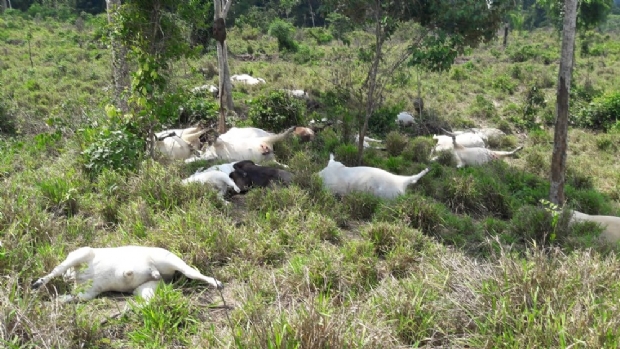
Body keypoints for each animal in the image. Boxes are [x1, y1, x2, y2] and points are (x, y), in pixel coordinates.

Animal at [32, 245, 223, 302]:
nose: (69, 277)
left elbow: (57, 271)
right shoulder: (88, 292)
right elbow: (72, 296)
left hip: (171, 261)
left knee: (193, 272)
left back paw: (217, 283)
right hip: (145, 288)